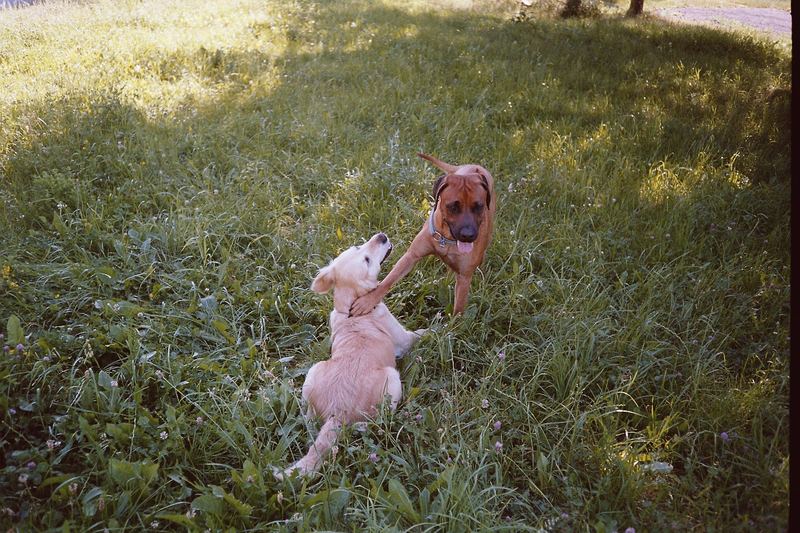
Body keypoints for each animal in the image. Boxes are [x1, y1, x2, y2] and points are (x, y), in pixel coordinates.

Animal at [276, 233, 424, 478]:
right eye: (366, 260)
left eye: (358, 246)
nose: (381, 236)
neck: (350, 308)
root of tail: (338, 411)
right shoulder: (404, 339)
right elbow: (426, 332)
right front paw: (447, 326)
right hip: (392, 378)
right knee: (375, 422)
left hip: (314, 370)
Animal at [350, 152, 494, 316]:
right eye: (453, 207)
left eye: (479, 206)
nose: (468, 235)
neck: (446, 239)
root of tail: (474, 166)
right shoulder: (411, 255)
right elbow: (389, 280)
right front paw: (368, 300)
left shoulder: (465, 277)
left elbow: (458, 311)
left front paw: (454, 324)